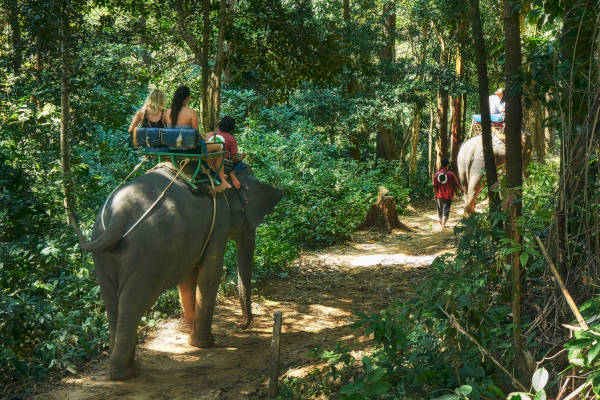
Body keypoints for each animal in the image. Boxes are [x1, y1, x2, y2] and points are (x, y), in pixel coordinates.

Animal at [71, 166, 284, 382]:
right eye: (245, 214)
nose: (242, 326)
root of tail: (118, 216)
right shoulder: (219, 220)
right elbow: (211, 273)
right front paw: (203, 344)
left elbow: (188, 274)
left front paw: (185, 330)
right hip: (148, 254)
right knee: (133, 304)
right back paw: (125, 374)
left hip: (102, 254)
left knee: (112, 303)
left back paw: (122, 368)